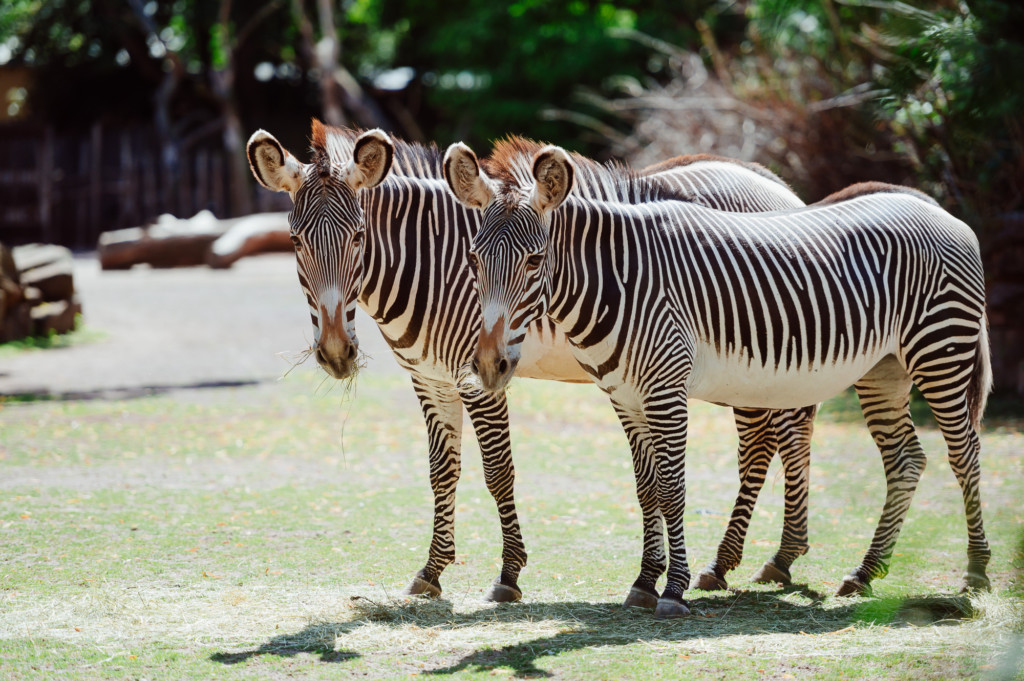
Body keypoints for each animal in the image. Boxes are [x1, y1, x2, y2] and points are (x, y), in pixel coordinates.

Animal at [245, 118, 823, 606]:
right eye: (294, 241)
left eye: (359, 236)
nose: (336, 353)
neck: (428, 261)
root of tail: (775, 184)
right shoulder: (429, 378)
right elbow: (441, 471)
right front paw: (432, 570)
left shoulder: (475, 377)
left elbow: (498, 471)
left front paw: (508, 573)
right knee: (771, 439)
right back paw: (753, 559)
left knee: (772, 440)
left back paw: (761, 558)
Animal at [446, 140, 991, 618]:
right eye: (472, 258)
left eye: (534, 260)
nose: (489, 366)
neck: (617, 281)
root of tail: (938, 211)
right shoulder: (625, 396)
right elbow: (646, 488)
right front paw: (644, 582)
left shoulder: (665, 389)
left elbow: (672, 488)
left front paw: (673, 590)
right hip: (885, 369)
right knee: (905, 460)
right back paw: (864, 572)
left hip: (941, 349)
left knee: (964, 453)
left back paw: (976, 573)